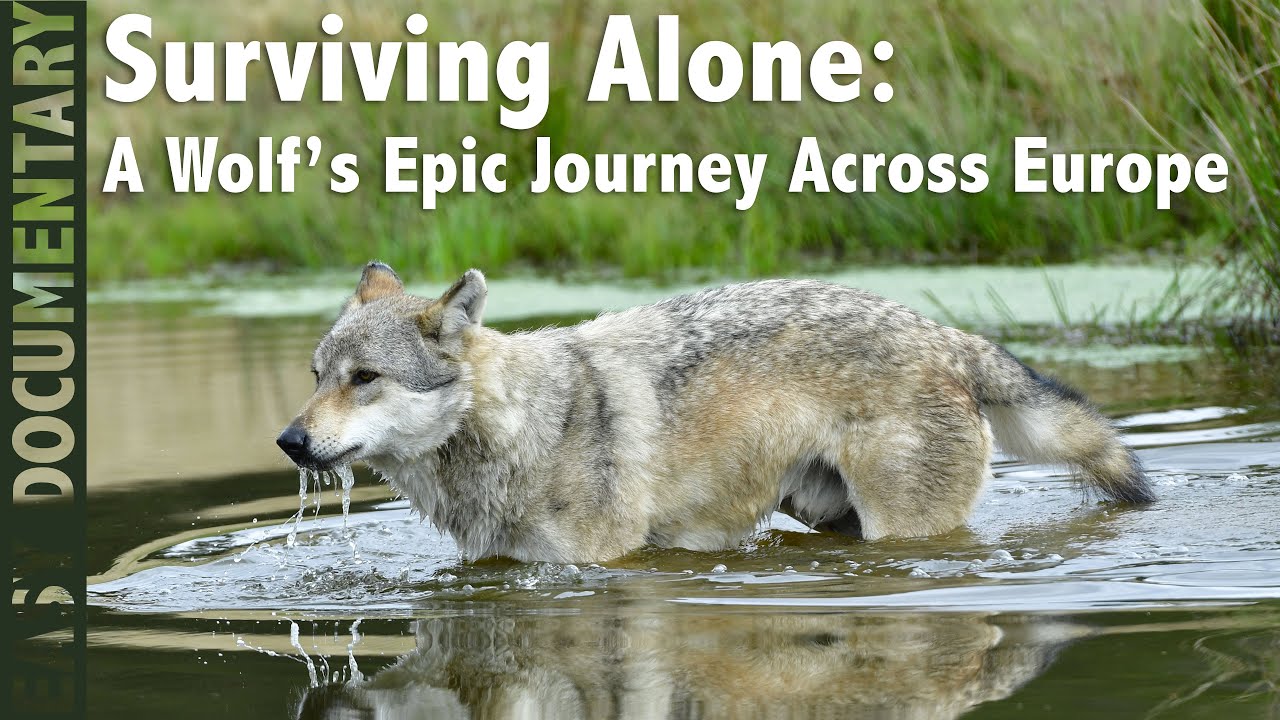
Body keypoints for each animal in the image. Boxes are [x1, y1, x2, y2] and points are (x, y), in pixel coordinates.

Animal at [277, 262, 1153, 563]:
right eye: (317, 375)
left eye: (364, 378)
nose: (288, 439)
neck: (521, 422)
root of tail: (944, 332)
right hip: (824, 512)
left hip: (900, 531)